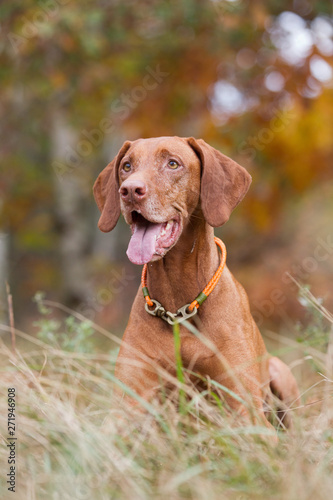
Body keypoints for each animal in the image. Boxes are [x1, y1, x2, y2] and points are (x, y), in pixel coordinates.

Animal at [92, 138, 298, 430]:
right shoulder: (125, 406)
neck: (178, 308)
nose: (130, 190)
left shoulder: (246, 411)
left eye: (172, 164)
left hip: (280, 371)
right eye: (127, 166)